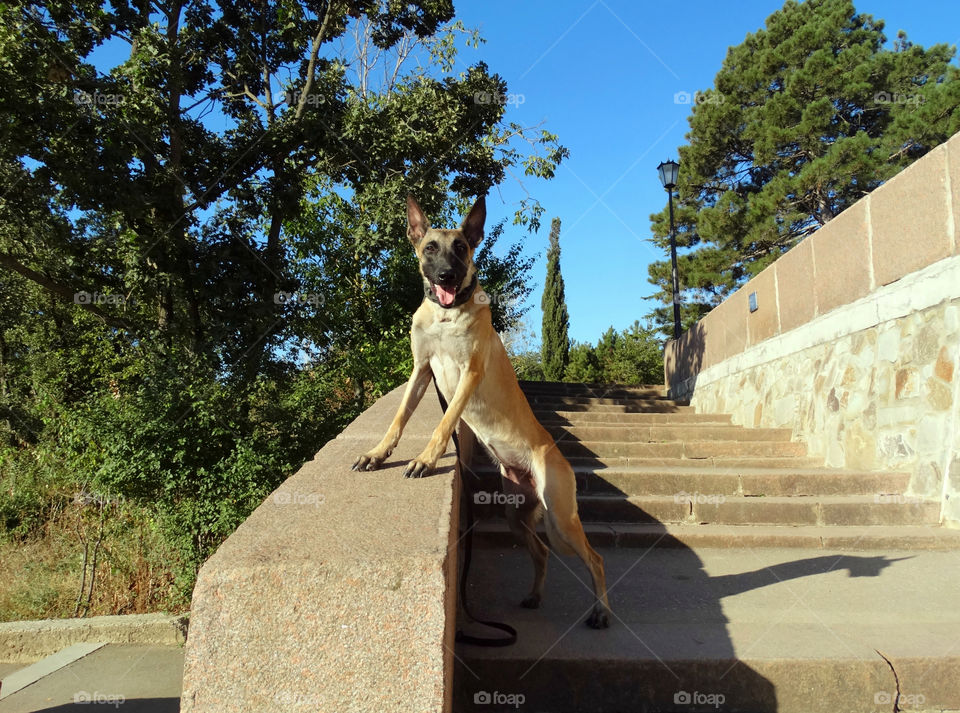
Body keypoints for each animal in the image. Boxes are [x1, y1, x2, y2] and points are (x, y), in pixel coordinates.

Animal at [348, 195, 612, 628]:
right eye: (430, 248)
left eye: (461, 248)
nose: (447, 276)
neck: (444, 315)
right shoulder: (421, 370)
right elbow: (399, 418)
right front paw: (378, 454)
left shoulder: (468, 374)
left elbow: (444, 423)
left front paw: (425, 460)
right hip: (515, 517)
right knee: (541, 552)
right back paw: (534, 596)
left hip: (561, 519)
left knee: (596, 558)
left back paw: (601, 611)